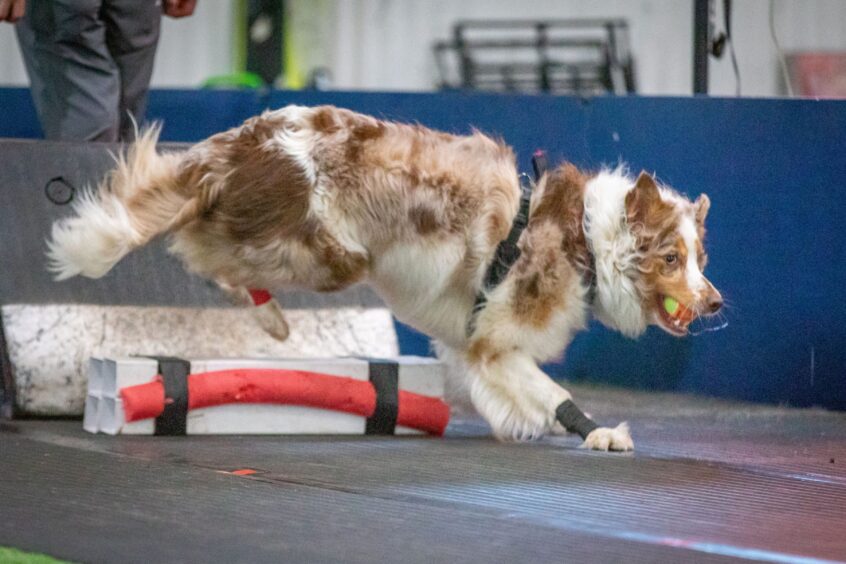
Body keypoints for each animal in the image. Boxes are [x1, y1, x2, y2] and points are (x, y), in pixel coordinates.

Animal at [46, 104, 724, 450]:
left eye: (701, 259)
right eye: (671, 258)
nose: (717, 303)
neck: (588, 237)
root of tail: (234, 148)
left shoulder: (468, 340)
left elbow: (516, 393)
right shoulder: (496, 341)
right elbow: (553, 393)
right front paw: (600, 433)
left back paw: (269, 315)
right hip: (331, 256)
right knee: (200, 251)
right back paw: (268, 314)